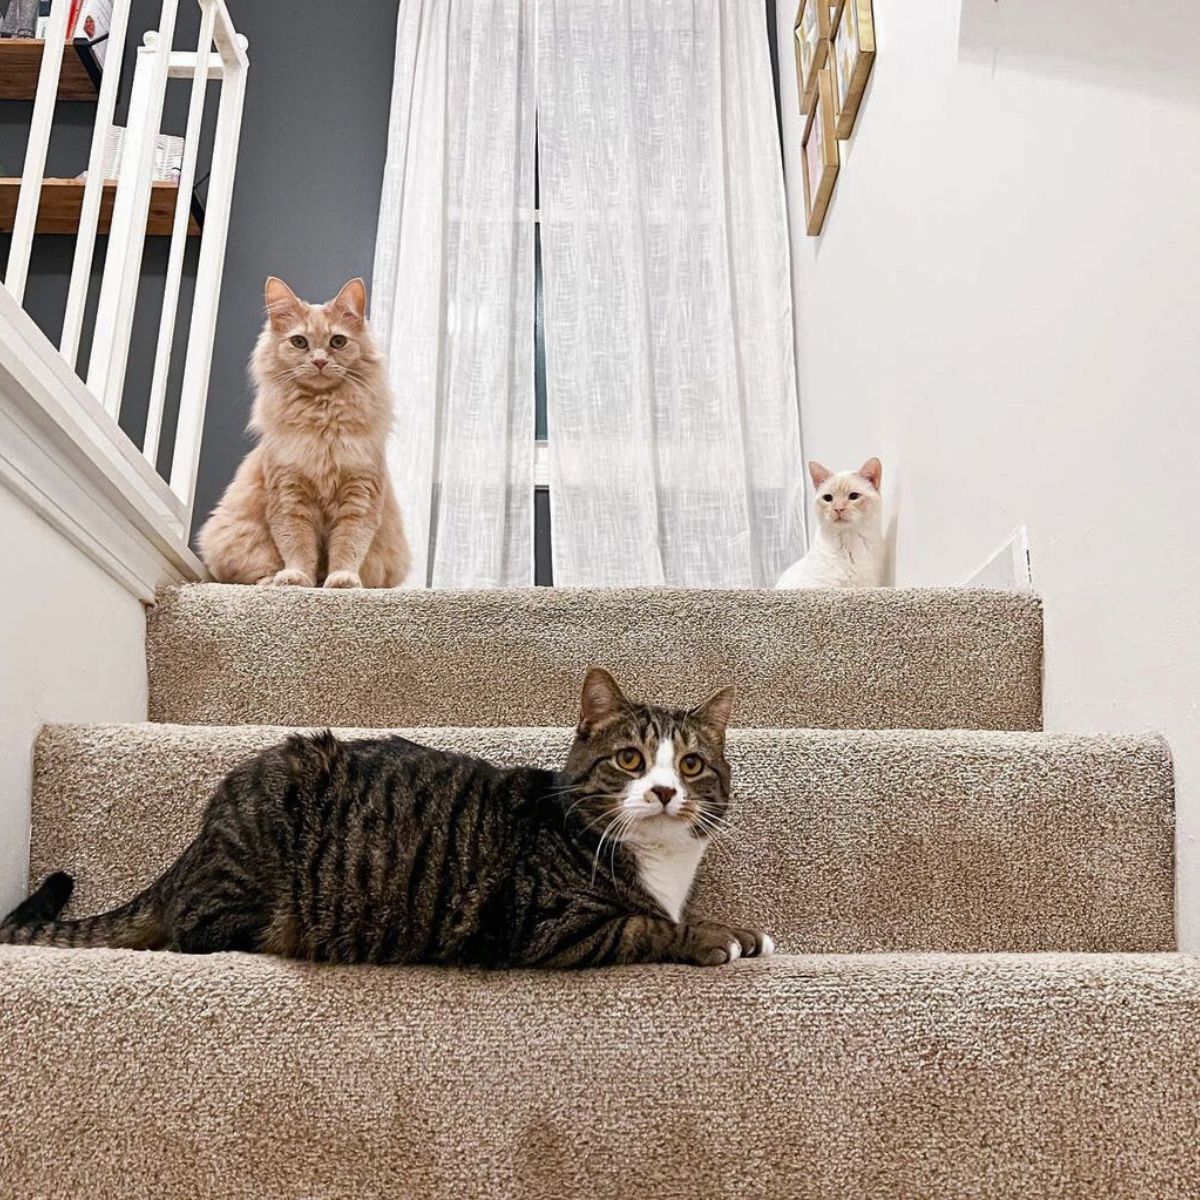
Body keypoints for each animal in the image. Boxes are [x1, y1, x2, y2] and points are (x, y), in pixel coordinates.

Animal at [2, 672, 768, 969]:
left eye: (691, 765)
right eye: (631, 759)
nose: (664, 791)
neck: (661, 865)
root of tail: (199, 838)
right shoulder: (540, 922)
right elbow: (644, 925)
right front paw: (712, 936)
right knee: (197, 931)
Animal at [193, 273, 408, 590]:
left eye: (338, 341)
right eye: (299, 342)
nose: (319, 361)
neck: (322, 423)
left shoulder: (360, 496)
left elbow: (348, 546)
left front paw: (342, 580)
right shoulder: (288, 495)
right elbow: (297, 546)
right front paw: (297, 578)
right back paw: (274, 580)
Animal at [772, 456, 888, 588]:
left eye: (854, 496)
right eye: (827, 498)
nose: (838, 508)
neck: (848, 542)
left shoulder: (866, 584)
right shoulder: (822, 586)